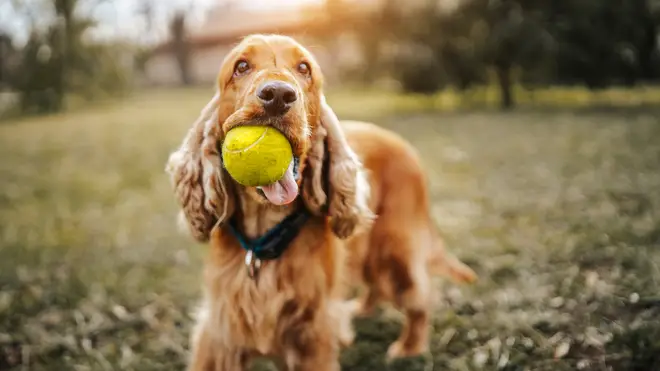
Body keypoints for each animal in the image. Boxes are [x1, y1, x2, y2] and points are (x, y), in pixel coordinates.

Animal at [165, 33, 474, 370]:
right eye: (241, 66)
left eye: (304, 68)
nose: (278, 95)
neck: (266, 232)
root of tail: (402, 144)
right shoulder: (222, 330)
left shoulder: (312, 333)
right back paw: (361, 309)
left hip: (396, 247)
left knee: (418, 297)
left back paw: (409, 347)